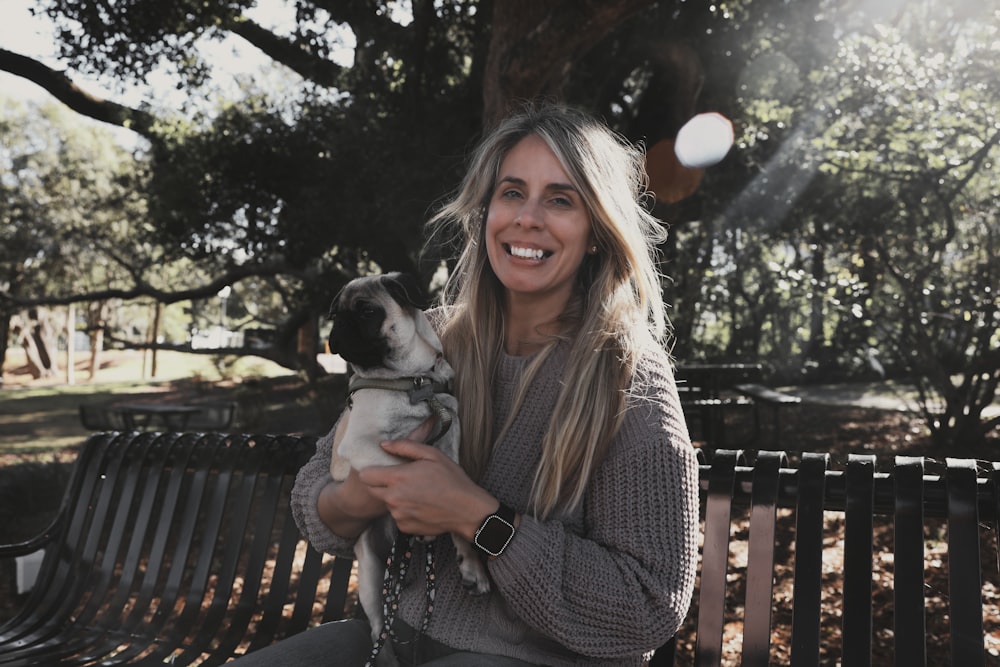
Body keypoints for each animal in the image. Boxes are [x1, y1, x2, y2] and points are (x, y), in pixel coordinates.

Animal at [328, 272, 488, 667]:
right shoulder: (363, 446)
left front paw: (471, 563)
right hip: (370, 575)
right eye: (334, 314)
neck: (414, 381)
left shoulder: (449, 440)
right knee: (377, 627)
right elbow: (408, 472)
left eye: (366, 312)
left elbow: (453, 495)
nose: (337, 326)